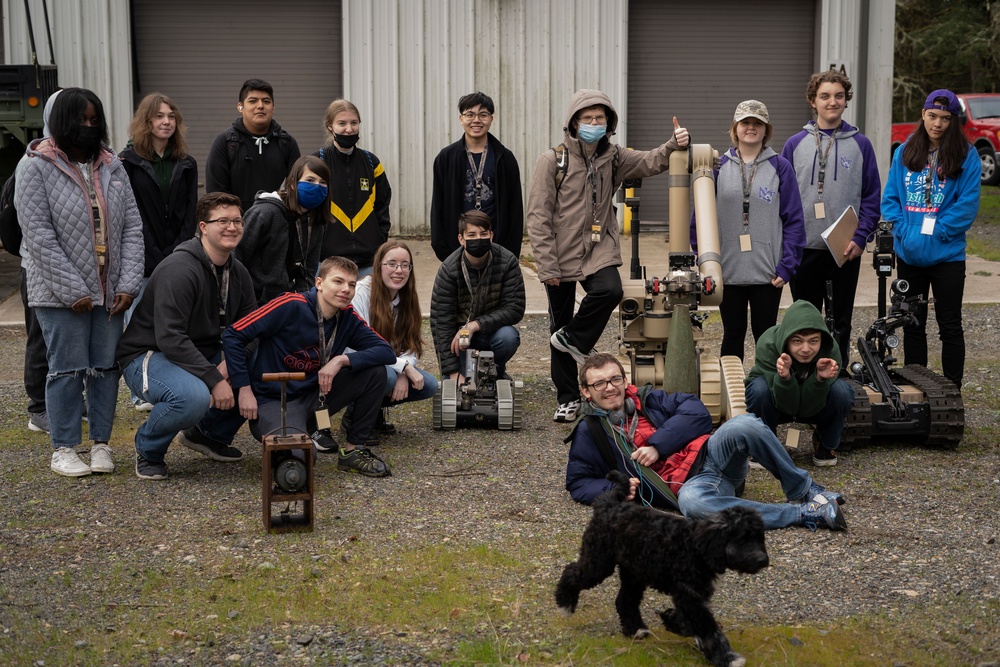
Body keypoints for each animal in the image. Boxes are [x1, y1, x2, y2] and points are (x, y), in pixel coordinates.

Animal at [556, 470, 764, 667]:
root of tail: (609, 505)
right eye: (742, 539)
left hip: (634, 573)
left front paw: (671, 619)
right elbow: (708, 628)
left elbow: (690, 622)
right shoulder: (689, 596)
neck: (697, 546)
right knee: (572, 572)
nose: (763, 559)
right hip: (600, 562)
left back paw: (636, 629)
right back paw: (565, 604)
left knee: (625, 600)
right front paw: (727, 657)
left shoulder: (693, 596)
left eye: (759, 537)